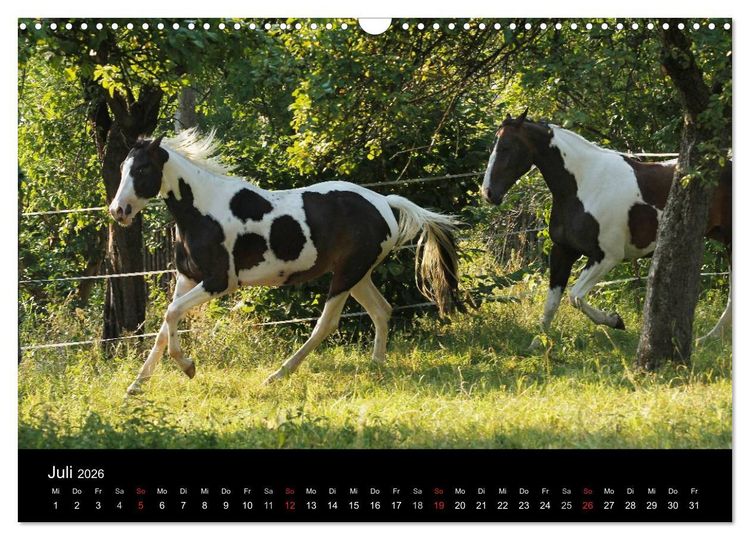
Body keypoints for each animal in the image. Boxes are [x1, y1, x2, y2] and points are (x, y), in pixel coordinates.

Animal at [109, 128, 462, 394]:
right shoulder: (188, 278)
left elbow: (170, 315)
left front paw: (188, 368)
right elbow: (164, 327)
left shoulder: (220, 282)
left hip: (346, 275)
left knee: (326, 324)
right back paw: (376, 368)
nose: (118, 211)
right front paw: (136, 386)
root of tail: (384, 201)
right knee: (381, 310)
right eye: (123, 169)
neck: (204, 210)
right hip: (358, 274)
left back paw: (277, 375)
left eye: (142, 169)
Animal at [481, 109, 732, 348]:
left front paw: (615, 321)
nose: (488, 193)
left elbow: (575, 296)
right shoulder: (563, 251)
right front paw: (538, 343)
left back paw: (708, 339)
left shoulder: (607, 256)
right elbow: (552, 302)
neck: (585, 185)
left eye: (506, 147)